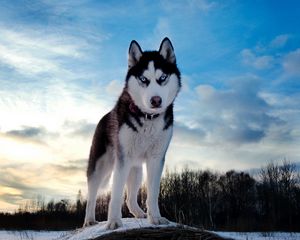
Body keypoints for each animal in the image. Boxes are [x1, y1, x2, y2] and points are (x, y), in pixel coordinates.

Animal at [83, 37, 180, 229]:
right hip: (101, 166)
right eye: (143, 79)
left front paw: (155, 218)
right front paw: (113, 221)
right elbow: (115, 194)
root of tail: (104, 117)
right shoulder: (123, 159)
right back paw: (89, 220)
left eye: (162, 78)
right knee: (92, 195)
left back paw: (139, 213)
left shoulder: (156, 159)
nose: (156, 100)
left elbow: (153, 193)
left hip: (136, 170)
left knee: (130, 198)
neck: (148, 118)